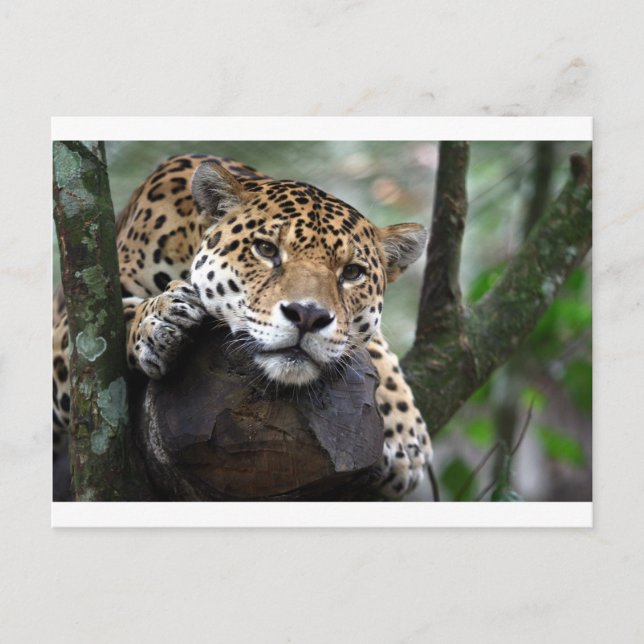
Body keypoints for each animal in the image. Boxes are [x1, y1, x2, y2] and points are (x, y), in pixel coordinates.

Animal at [52, 153, 433, 498]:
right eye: (265, 249)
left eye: (352, 272)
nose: (307, 315)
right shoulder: (73, 318)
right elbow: (102, 331)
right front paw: (158, 320)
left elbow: (373, 345)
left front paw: (404, 437)